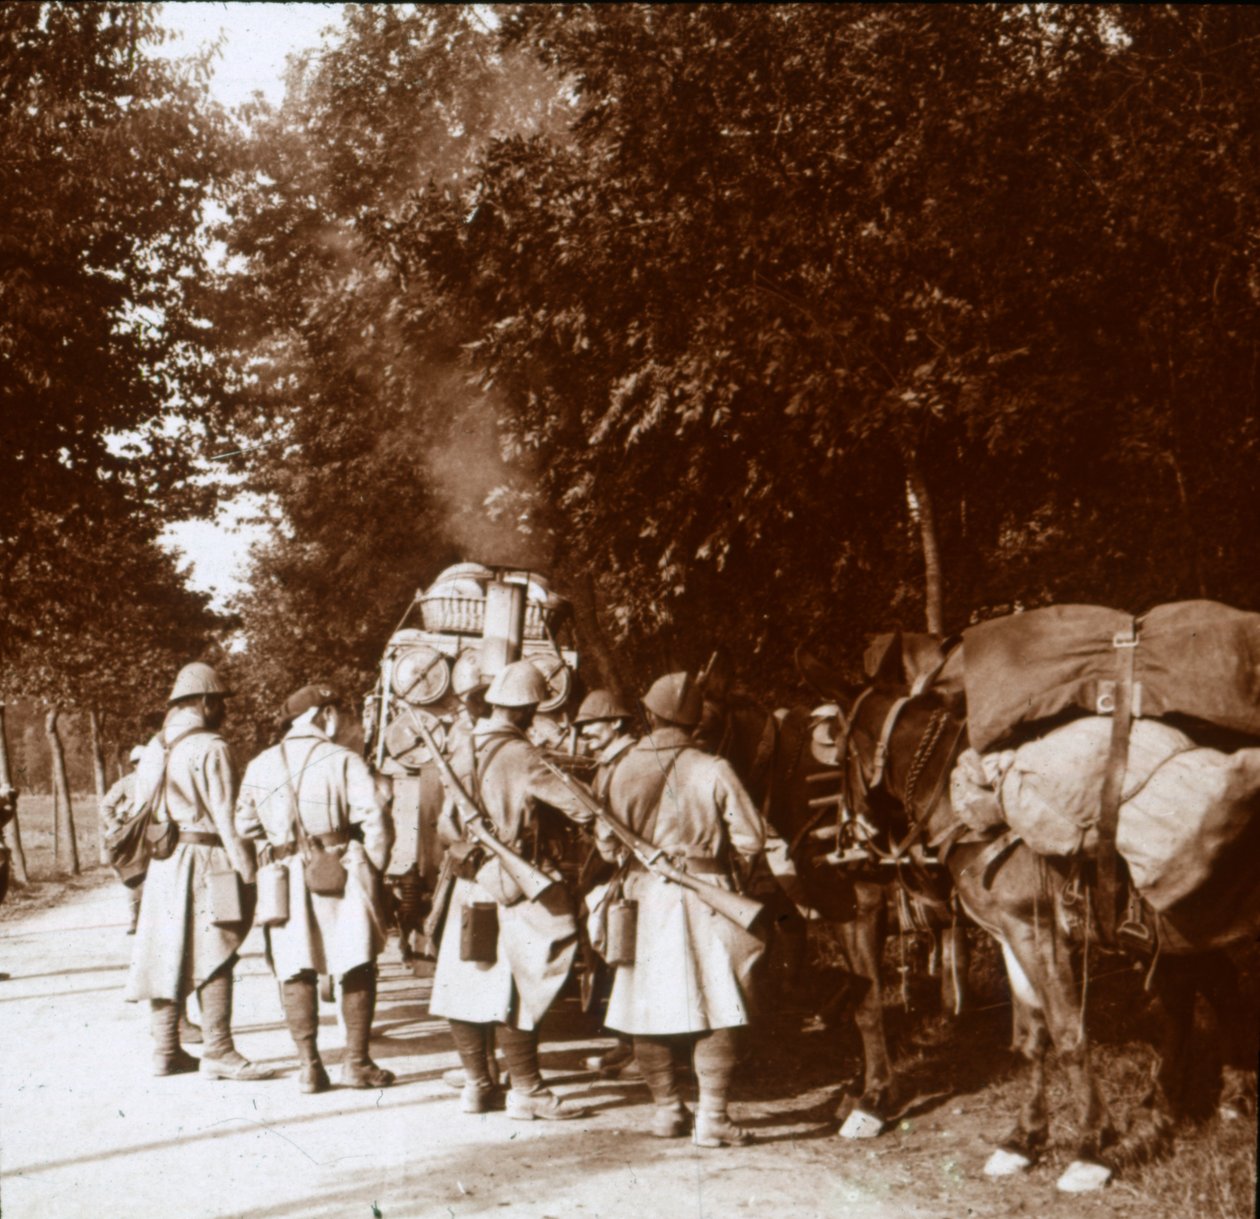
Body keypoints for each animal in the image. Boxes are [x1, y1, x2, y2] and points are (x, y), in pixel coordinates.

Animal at [836, 685, 1260, 1190]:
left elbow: (1068, 1032)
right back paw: (1215, 1101)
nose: (852, 842)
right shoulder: (1012, 934)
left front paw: (1093, 1146)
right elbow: (1032, 1036)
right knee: (1210, 993)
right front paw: (1023, 1140)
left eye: (840, 754)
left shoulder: (1040, 935)